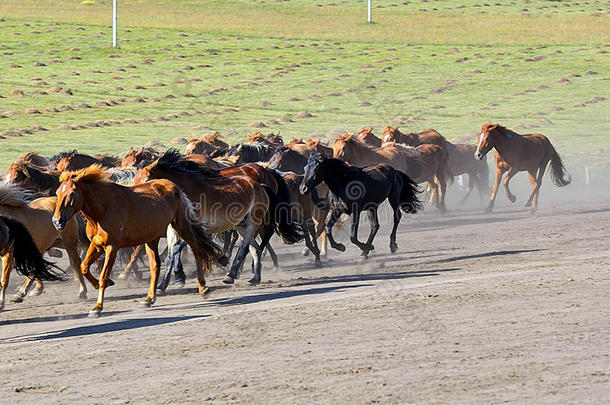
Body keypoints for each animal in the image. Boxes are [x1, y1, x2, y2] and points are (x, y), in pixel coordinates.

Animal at [53, 164, 224, 316]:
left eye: (72, 193)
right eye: (57, 192)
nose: (57, 221)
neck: (103, 210)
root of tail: (175, 187)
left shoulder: (112, 247)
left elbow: (103, 275)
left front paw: (98, 307)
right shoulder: (97, 244)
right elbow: (84, 267)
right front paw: (103, 284)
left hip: (182, 226)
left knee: (196, 250)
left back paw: (203, 288)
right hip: (151, 238)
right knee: (155, 265)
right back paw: (149, 298)